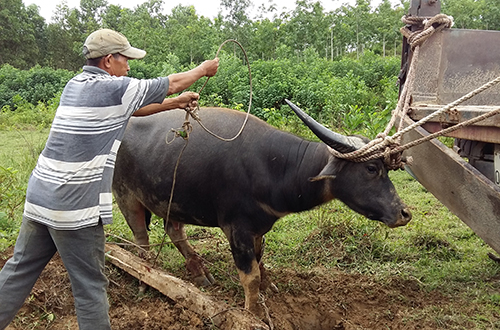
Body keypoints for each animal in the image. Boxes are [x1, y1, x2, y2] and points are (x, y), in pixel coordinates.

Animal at [112, 104, 410, 316]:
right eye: (371, 168)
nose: (404, 213)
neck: (274, 167)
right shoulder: (237, 229)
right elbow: (250, 275)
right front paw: (254, 311)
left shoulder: (259, 227)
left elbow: (260, 260)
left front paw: (269, 286)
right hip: (125, 195)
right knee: (141, 239)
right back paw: (144, 276)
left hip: (171, 200)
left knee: (173, 229)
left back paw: (198, 272)